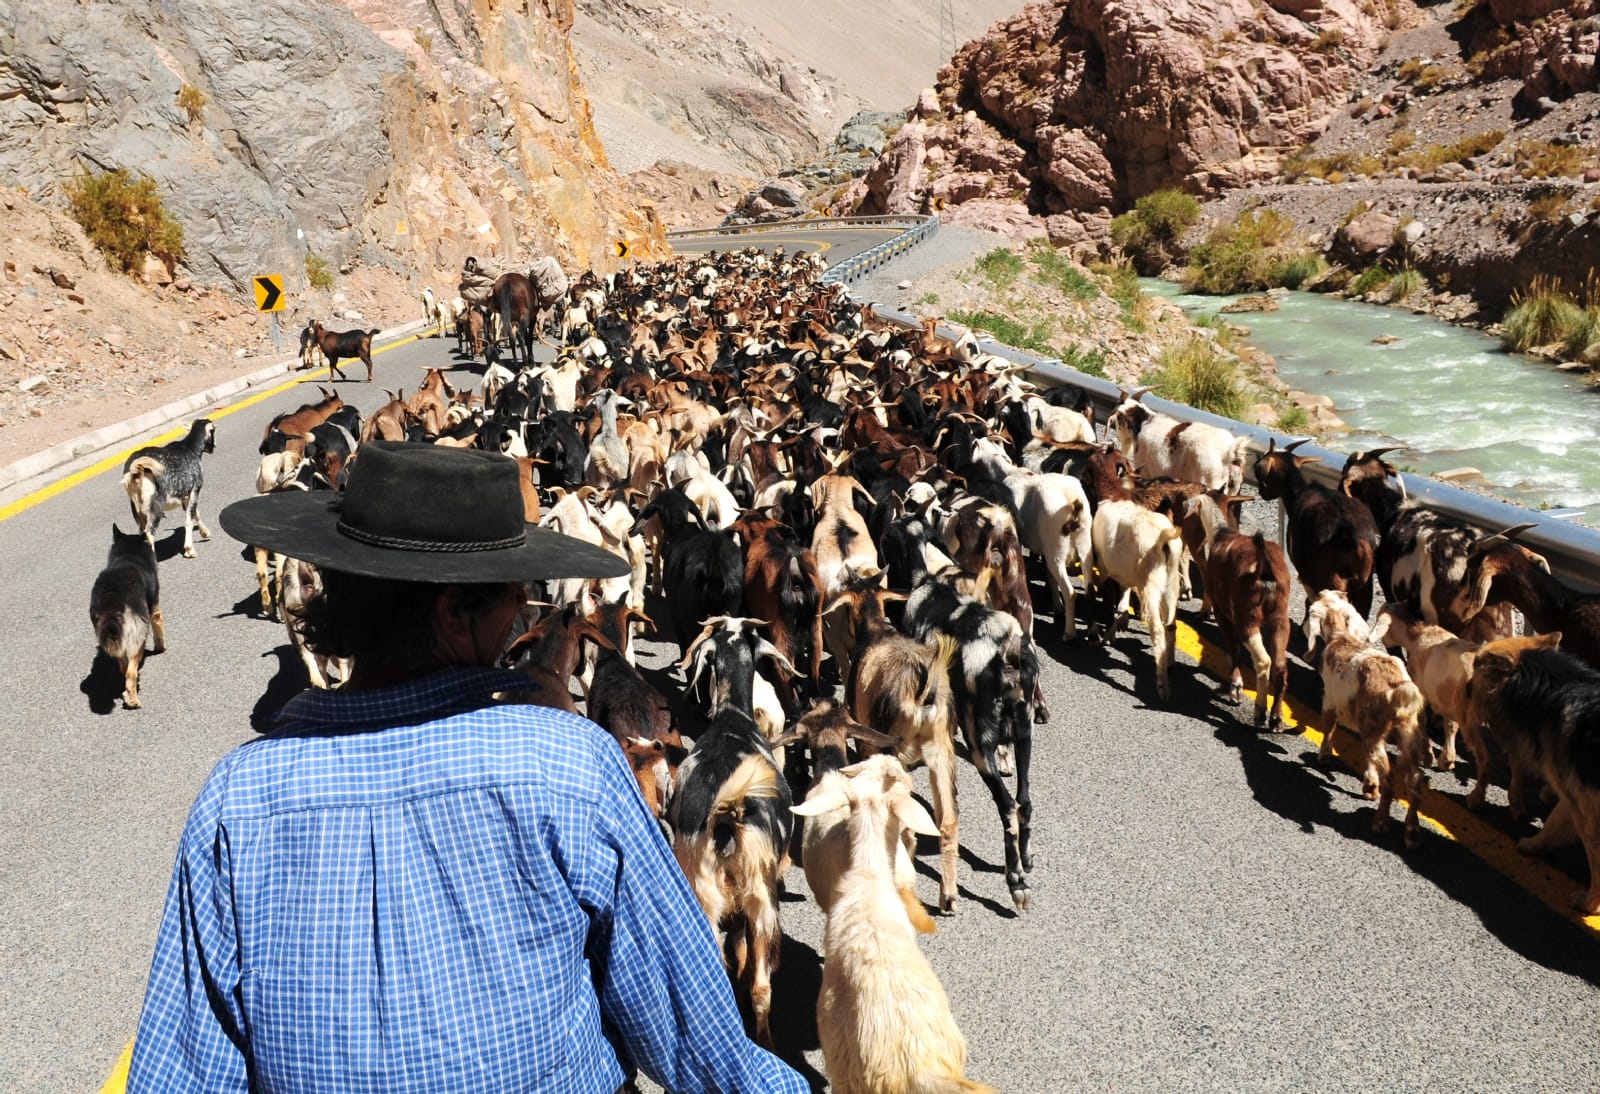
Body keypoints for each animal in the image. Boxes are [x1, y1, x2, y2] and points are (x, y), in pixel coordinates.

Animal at [89, 527, 164, 710]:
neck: (128, 555)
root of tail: (112, 597)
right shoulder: (155, 610)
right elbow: (159, 629)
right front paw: (161, 648)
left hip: (116, 639)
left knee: (124, 668)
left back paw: (127, 694)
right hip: (138, 637)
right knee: (130, 673)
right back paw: (133, 700)